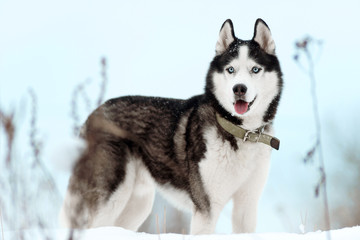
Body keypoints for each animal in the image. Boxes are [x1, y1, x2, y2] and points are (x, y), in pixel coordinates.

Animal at [60, 19, 282, 234]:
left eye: (255, 69)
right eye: (231, 70)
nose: (239, 89)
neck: (241, 133)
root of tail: (94, 114)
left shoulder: (247, 205)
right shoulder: (207, 207)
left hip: (139, 203)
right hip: (113, 196)